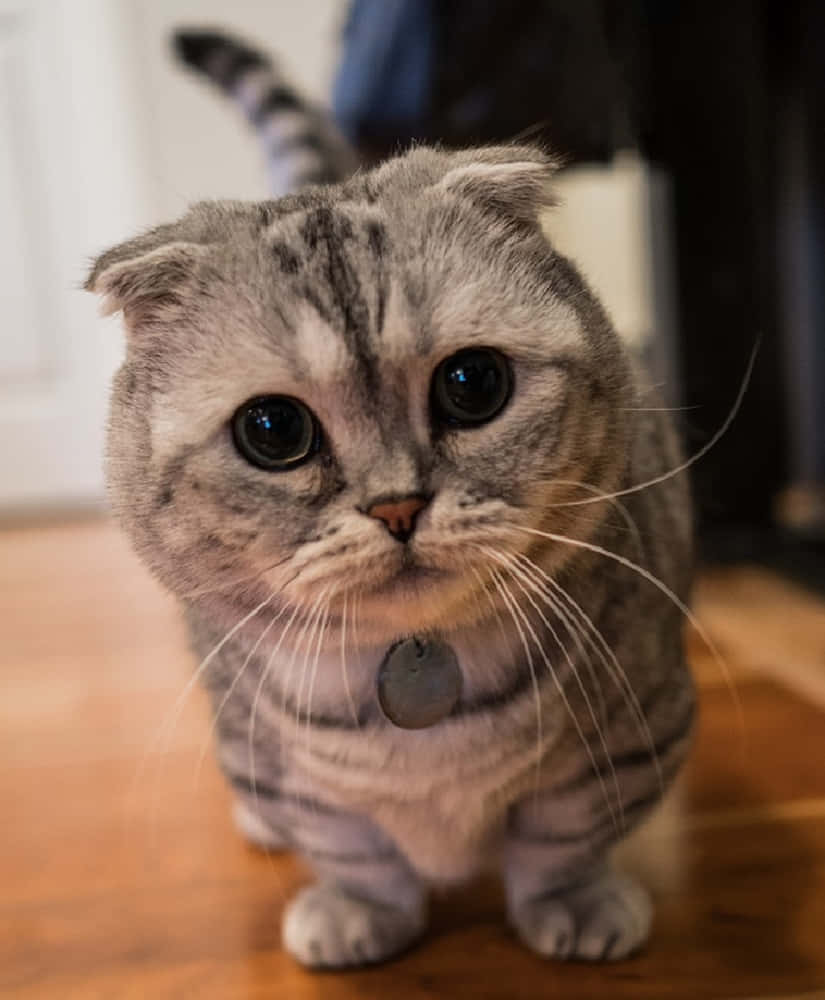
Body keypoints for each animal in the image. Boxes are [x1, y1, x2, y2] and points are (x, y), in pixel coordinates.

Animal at [83, 29, 692, 968]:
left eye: (472, 384)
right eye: (271, 430)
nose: (398, 507)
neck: (417, 669)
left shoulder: (632, 735)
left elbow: (562, 838)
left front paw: (576, 905)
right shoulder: (289, 771)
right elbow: (353, 848)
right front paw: (358, 914)